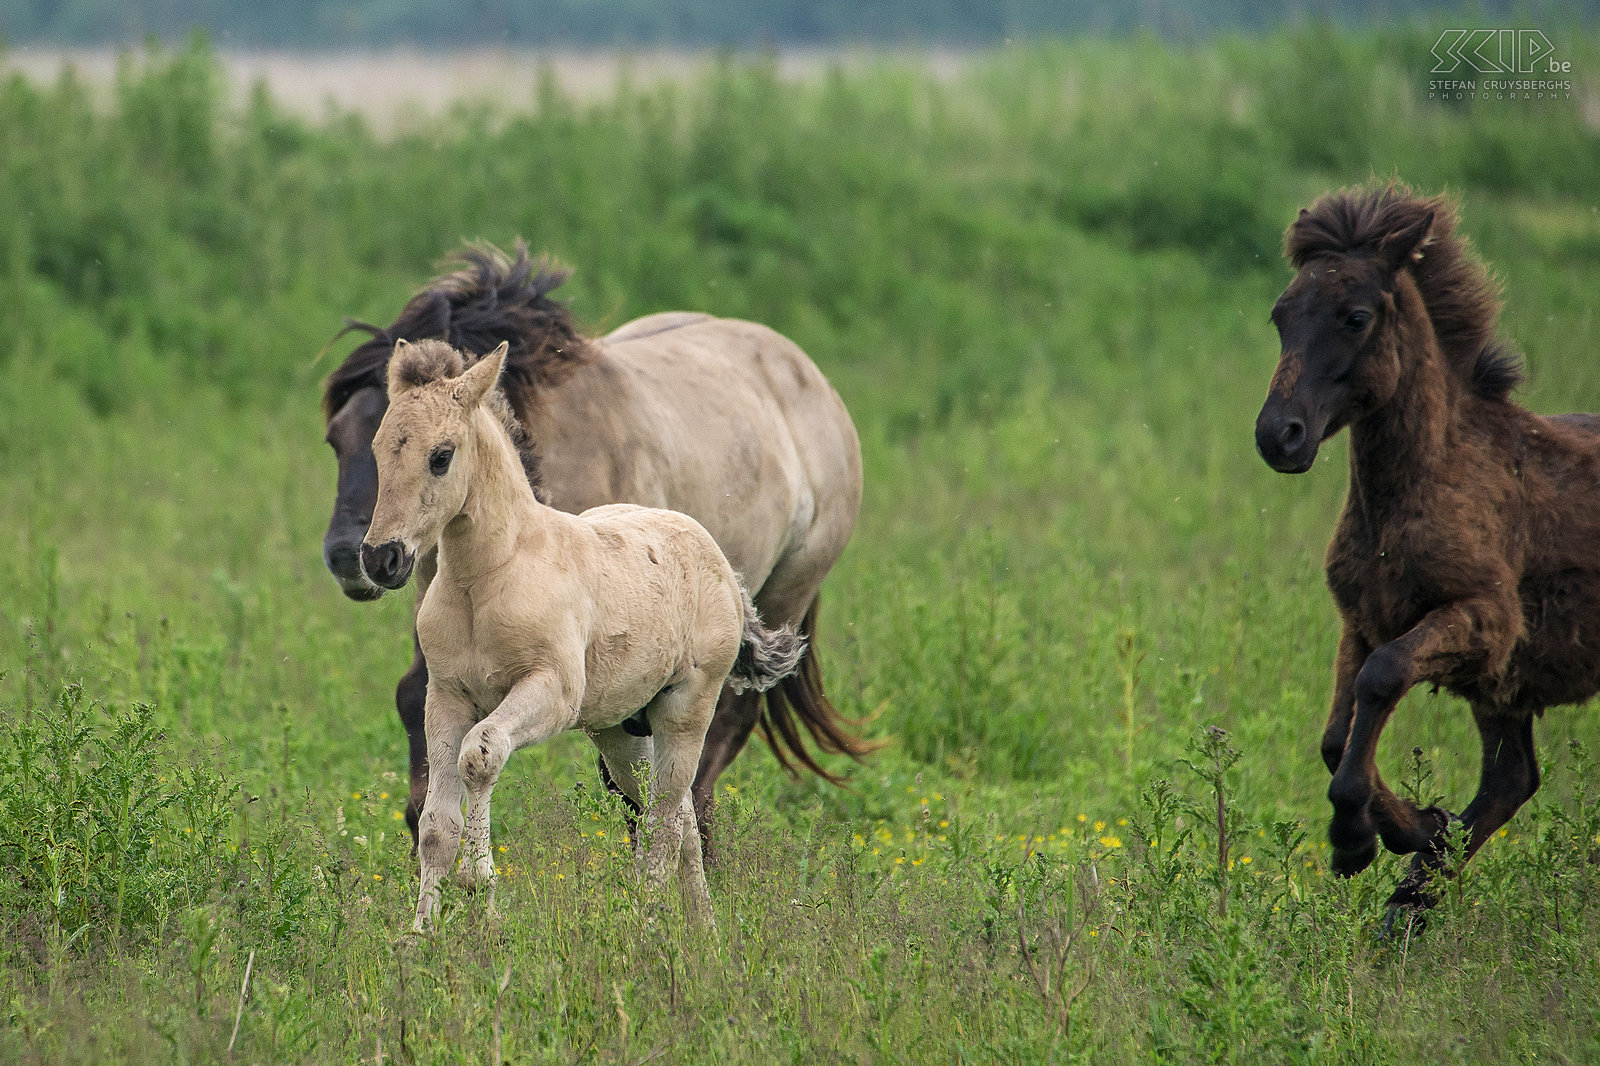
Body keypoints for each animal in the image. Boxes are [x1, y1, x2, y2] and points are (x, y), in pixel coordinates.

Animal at [320, 240, 870, 845]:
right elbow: (415, 693)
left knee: (718, 735)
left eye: (440, 456)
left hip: (784, 595)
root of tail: (810, 379)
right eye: (340, 440)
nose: (358, 557)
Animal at [366, 336, 806, 928]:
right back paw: (703, 934)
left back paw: (646, 928)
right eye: (377, 448)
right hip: (620, 729)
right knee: (680, 820)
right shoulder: (447, 697)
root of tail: (724, 568)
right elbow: (437, 826)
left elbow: (481, 754)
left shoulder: (552, 690)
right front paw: (420, 935)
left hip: (685, 708)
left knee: (664, 822)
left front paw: (479, 888)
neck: (486, 579)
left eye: (441, 456)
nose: (380, 558)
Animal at [1254, 180, 1600, 915]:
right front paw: (1413, 829)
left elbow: (1381, 679)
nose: (1279, 435)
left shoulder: (1484, 621)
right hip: (1503, 693)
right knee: (1512, 778)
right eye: (1281, 314)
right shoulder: (1366, 620)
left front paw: (1357, 835)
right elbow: (1336, 736)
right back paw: (1410, 902)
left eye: (1355, 317)